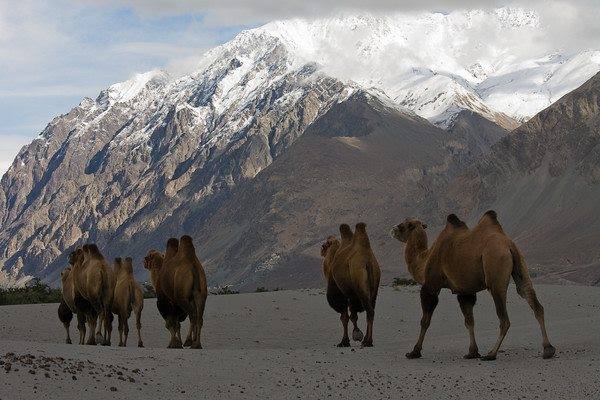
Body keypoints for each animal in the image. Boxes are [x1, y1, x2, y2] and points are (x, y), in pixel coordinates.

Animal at [392, 211, 556, 360]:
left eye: (403, 225)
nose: (392, 229)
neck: (424, 261)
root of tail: (508, 245)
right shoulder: (465, 291)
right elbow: (469, 320)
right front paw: (472, 352)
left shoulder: (431, 285)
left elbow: (425, 321)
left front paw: (414, 352)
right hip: (521, 266)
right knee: (533, 301)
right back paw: (548, 349)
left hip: (495, 268)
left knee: (504, 318)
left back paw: (491, 354)